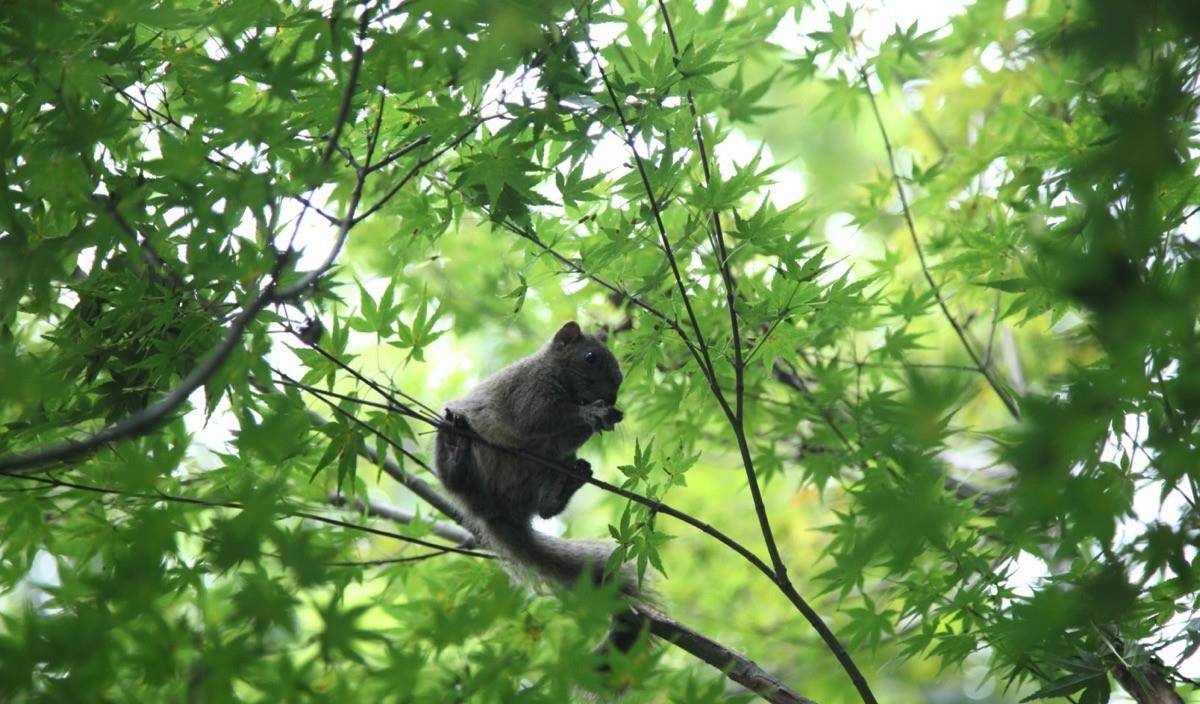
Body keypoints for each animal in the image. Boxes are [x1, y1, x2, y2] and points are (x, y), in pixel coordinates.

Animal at [434, 321, 648, 652]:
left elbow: (563, 436)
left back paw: (569, 482)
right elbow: (540, 417)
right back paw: (456, 449)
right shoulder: (528, 391)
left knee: (547, 510)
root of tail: (494, 514)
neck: (555, 373)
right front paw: (593, 413)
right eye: (590, 357)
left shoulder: (560, 442)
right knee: (456, 478)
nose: (613, 399)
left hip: (544, 470)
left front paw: (605, 417)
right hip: (461, 469)